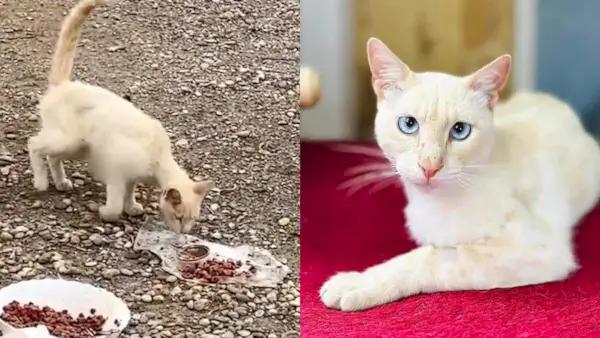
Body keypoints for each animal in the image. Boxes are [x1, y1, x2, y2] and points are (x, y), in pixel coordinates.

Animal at [26, 0, 213, 234]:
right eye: (179, 217)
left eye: (192, 219)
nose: (184, 232)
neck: (158, 157)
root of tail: (64, 85)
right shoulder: (116, 171)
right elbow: (115, 204)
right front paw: (107, 213)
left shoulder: (132, 177)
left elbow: (129, 193)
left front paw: (131, 207)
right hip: (69, 140)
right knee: (34, 145)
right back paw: (41, 182)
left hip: (77, 147)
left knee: (52, 157)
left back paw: (61, 183)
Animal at [322, 37, 600, 312]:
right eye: (408, 125)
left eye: (459, 131)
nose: (429, 166)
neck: (434, 204)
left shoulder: (538, 249)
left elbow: (428, 257)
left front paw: (356, 282)